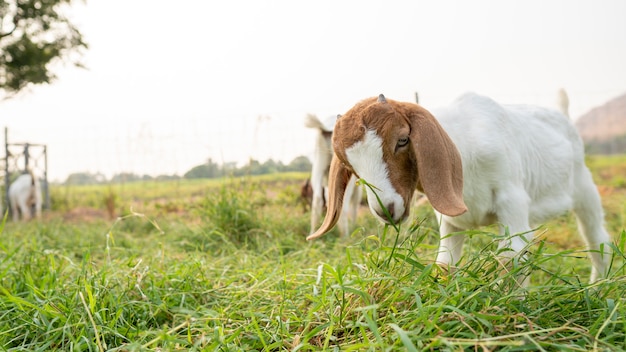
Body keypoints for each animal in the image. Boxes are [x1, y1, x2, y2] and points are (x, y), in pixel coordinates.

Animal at [310, 93, 612, 284]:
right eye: (349, 165)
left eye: (403, 140)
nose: (386, 209)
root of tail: (562, 115)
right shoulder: (450, 220)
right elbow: (446, 263)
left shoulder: (511, 199)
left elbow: (511, 256)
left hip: (585, 190)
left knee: (597, 240)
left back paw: (599, 288)